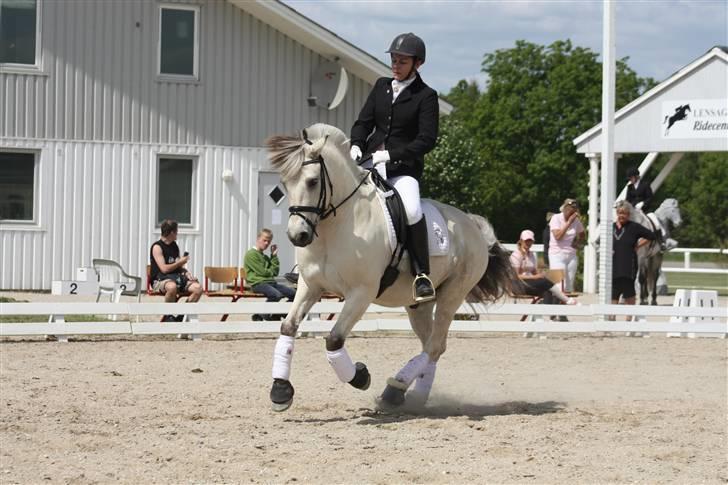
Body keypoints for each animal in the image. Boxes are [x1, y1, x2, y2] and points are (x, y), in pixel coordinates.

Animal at [264, 123, 516, 410]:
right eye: (284, 184)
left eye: (312, 181)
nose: (298, 236)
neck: (337, 226)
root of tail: (471, 225)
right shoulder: (310, 286)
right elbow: (288, 327)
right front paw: (281, 391)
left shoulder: (361, 293)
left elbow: (334, 339)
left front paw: (360, 376)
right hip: (419, 305)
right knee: (432, 345)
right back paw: (410, 394)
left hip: (452, 295)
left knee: (434, 346)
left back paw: (396, 387)